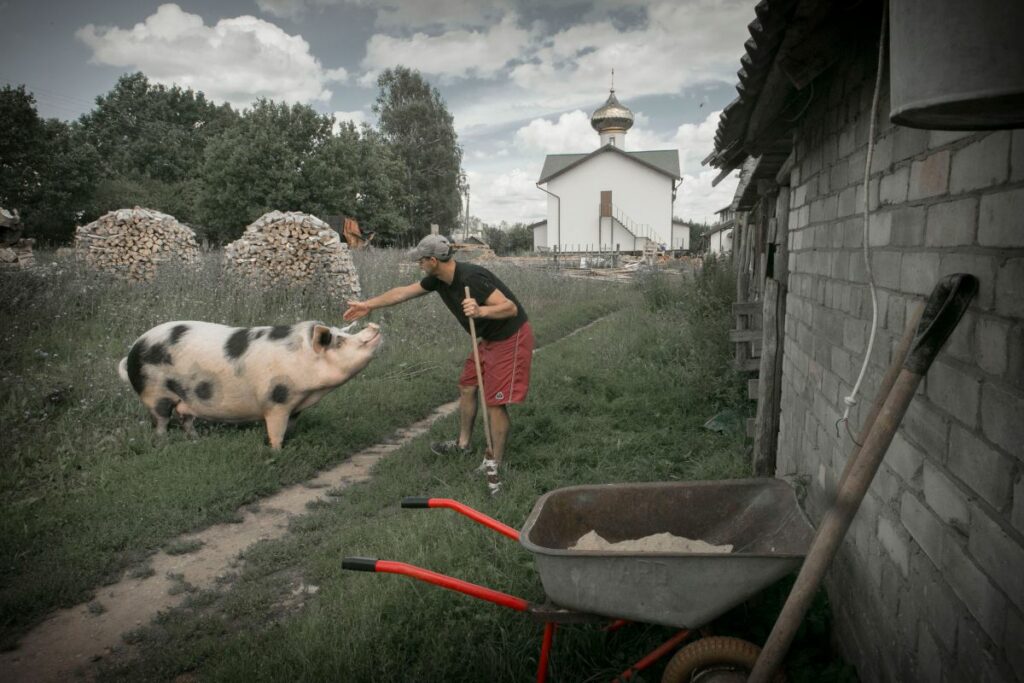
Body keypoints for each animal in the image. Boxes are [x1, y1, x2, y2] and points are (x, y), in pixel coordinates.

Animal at [116, 321, 380, 448]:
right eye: (340, 341)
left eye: (344, 334)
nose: (373, 326)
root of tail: (133, 350)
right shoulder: (276, 400)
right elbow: (275, 430)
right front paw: (276, 450)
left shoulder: (295, 406)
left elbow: (290, 427)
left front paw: (292, 441)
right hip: (155, 394)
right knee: (161, 422)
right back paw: (163, 445)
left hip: (186, 398)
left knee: (185, 418)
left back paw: (197, 441)